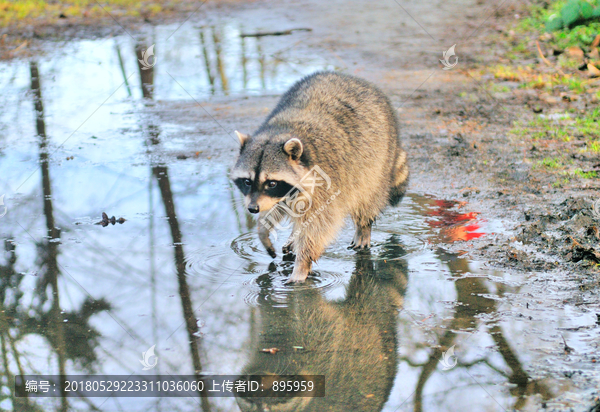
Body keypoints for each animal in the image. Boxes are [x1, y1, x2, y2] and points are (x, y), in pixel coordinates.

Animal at [230, 71, 408, 284]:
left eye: (271, 183)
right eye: (247, 181)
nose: (252, 209)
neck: (280, 131)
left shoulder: (324, 183)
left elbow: (320, 225)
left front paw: (302, 264)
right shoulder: (279, 195)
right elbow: (277, 208)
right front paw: (263, 227)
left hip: (377, 160)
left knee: (367, 195)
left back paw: (364, 227)